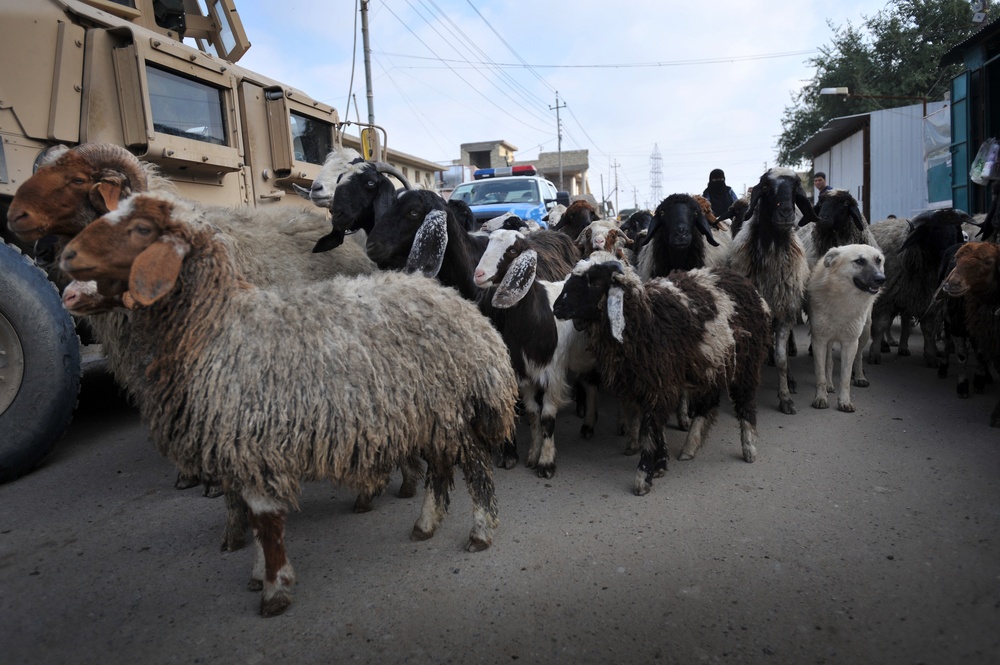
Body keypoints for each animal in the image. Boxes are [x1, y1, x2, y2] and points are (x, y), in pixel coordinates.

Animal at [58, 189, 520, 616]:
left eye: (141, 229)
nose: (67, 277)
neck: (215, 330)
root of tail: (460, 306)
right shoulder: (243, 450)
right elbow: (255, 519)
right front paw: (260, 573)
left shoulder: (253, 444)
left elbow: (265, 521)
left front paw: (274, 590)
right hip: (425, 409)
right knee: (441, 466)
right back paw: (426, 524)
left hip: (449, 403)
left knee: (474, 464)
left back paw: (480, 531)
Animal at [728, 167, 820, 416]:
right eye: (767, 188)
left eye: (795, 189)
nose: (787, 214)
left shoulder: (785, 312)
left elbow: (781, 358)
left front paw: (785, 397)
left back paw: (790, 379)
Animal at [808, 244, 888, 410]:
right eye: (859, 261)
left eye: (878, 260)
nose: (881, 279)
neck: (842, 300)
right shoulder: (819, 340)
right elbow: (821, 374)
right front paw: (821, 397)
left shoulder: (850, 343)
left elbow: (845, 378)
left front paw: (844, 401)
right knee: (829, 362)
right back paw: (829, 385)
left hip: (864, 333)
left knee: (859, 357)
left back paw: (859, 377)